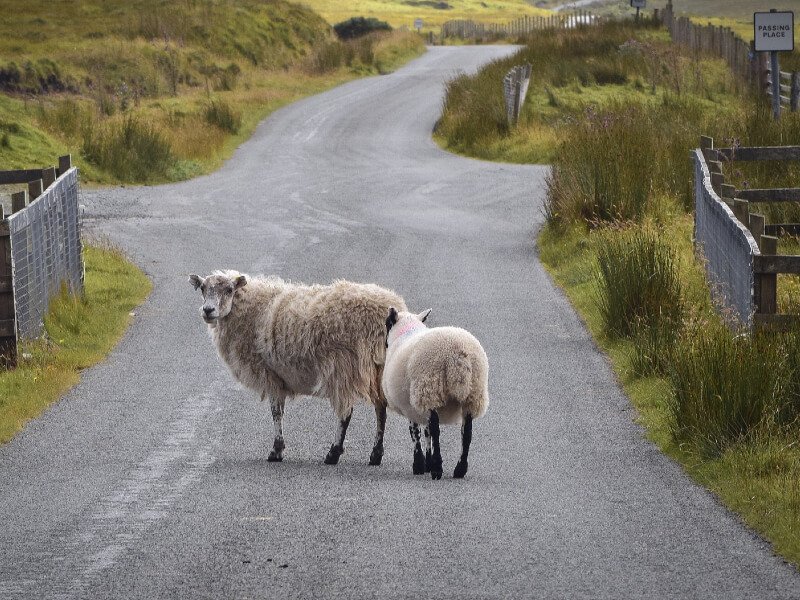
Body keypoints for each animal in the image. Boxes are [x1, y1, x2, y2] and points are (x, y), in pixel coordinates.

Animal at [189, 270, 406, 464]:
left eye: (229, 289)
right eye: (203, 288)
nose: (208, 310)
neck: (252, 309)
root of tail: (389, 308)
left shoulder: (270, 374)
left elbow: (276, 412)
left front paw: (276, 450)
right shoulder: (279, 376)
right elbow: (280, 411)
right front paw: (279, 448)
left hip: (343, 366)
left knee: (346, 414)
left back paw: (333, 454)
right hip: (378, 368)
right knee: (381, 409)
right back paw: (375, 455)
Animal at [382, 308, 488, 480]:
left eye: (387, 323)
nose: (384, 344)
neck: (407, 330)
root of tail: (458, 352)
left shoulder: (412, 403)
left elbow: (416, 432)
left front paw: (419, 465)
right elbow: (426, 432)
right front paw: (427, 463)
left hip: (430, 388)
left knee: (436, 429)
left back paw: (437, 468)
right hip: (472, 394)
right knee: (467, 432)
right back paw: (459, 469)